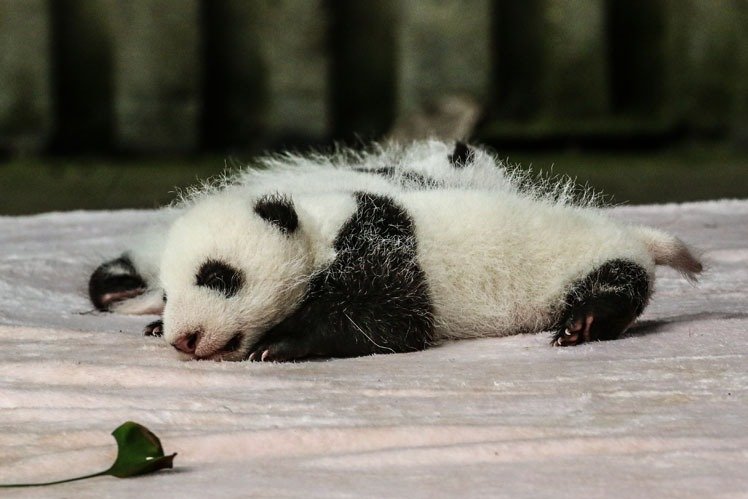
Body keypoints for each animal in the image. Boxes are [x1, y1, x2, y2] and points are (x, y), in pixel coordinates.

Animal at [124, 151, 700, 362]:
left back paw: (583, 323)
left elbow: (388, 320)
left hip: (588, 257)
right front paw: (150, 328)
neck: (318, 226)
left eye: (218, 277)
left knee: (615, 283)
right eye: (167, 294)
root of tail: (629, 232)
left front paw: (278, 344)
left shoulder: (380, 248)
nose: (184, 339)